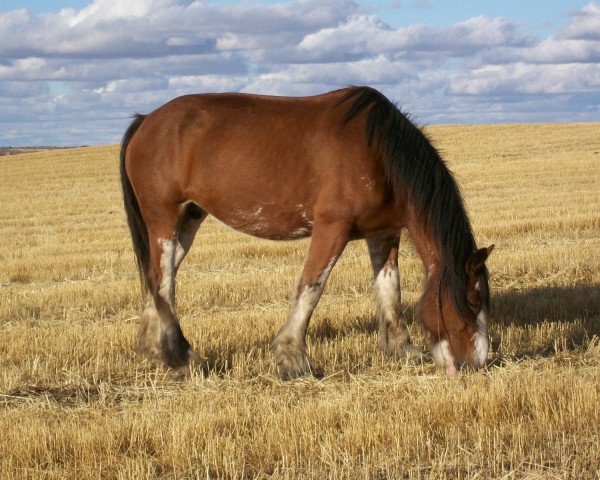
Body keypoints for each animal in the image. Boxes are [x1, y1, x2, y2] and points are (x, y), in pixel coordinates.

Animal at [119, 86, 494, 378]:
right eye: (472, 301)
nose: (479, 363)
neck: (379, 153)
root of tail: (146, 120)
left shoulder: (384, 233)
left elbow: (391, 291)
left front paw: (401, 349)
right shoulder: (332, 228)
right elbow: (311, 289)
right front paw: (292, 357)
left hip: (188, 220)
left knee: (156, 278)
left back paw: (154, 347)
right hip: (164, 220)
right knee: (163, 282)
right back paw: (180, 357)